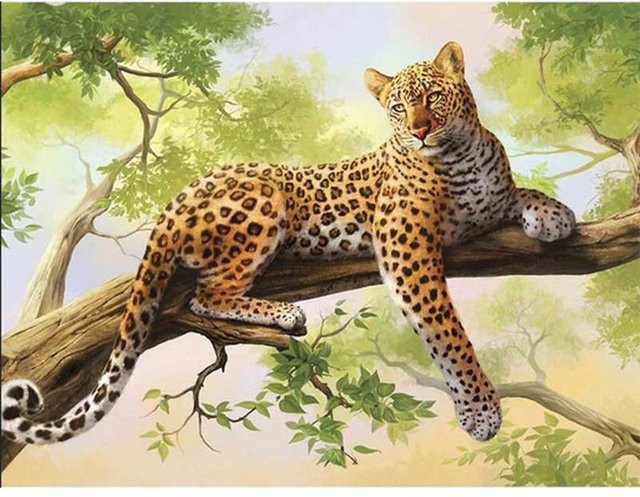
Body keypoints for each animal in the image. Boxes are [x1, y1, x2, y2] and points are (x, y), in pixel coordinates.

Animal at [2, 42, 575, 446]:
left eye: (433, 97)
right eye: (397, 107)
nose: (418, 131)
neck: (461, 153)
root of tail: (175, 200)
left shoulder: (486, 203)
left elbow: (516, 192)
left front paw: (554, 213)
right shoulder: (406, 247)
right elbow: (447, 331)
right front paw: (480, 410)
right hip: (264, 201)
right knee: (206, 294)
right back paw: (285, 314)